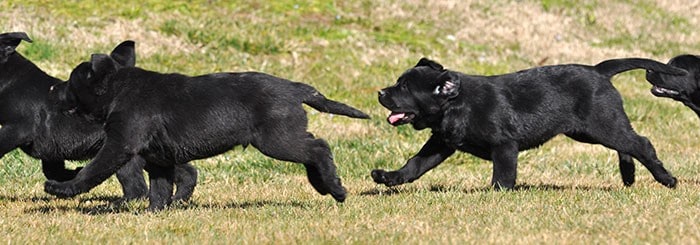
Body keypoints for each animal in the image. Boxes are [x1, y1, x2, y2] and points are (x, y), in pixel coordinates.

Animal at [1, 32, 197, 201]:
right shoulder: (50, 149)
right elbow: (53, 170)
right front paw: (73, 173)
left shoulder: (19, 129)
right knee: (187, 172)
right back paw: (179, 199)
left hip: (125, 156)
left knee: (137, 189)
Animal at [42, 52, 372, 211]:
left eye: (71, 82)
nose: (53, 90)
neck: (117, 89)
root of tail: (295, 88)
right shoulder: (159, 158)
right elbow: (160, 188)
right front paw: (155, 212)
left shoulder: (120, 144)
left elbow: (93, 170)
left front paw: (61, 189)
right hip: (283, 137)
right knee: (314, 149)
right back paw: (323, 186)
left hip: (277, 140)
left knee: (319, 147)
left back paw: (335, 188)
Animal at [374, 57, 688, 189]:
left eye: (404, 88)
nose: (380, 92)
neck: (455, 104)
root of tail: (598, 70)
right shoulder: (441, 143)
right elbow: (416, 164)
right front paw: (389, 178)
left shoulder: (504, 145)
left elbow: (503, 176)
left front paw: (496, 195)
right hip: (592, 130)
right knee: (629, 144)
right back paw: (628, 176)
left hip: (602, 125)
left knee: (641, 143)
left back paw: (667, 179)